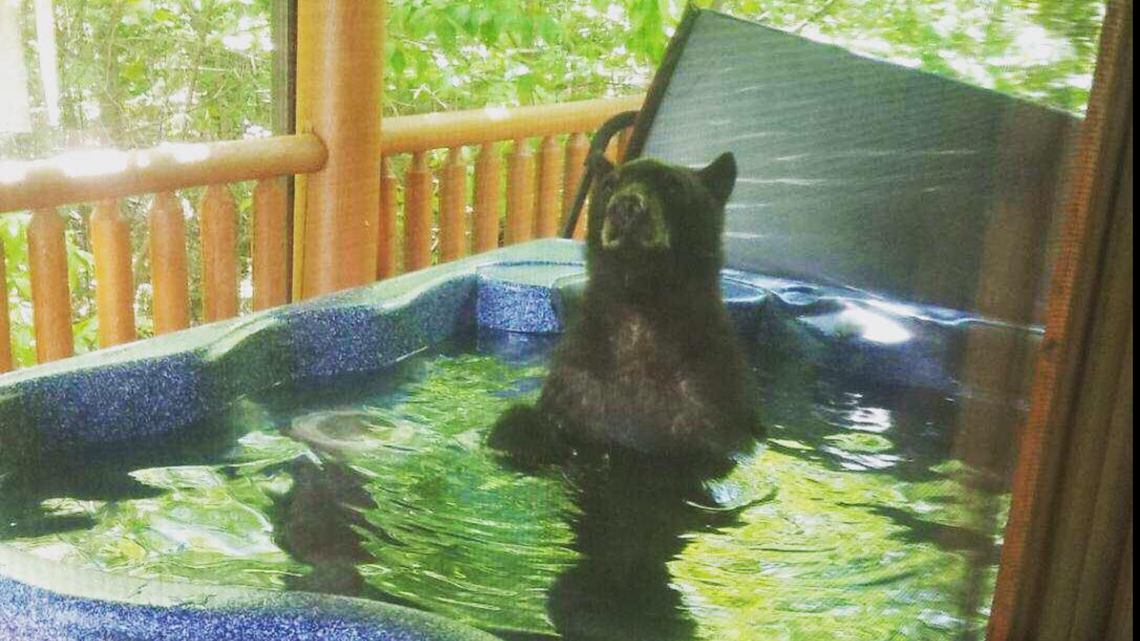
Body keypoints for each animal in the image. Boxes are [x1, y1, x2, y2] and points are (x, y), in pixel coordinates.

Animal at [487, 148, 761, 469]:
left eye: (673, 185)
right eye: (609, 184)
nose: (626, 205)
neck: (639, 306)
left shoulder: (707, 401)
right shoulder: (577, 388)